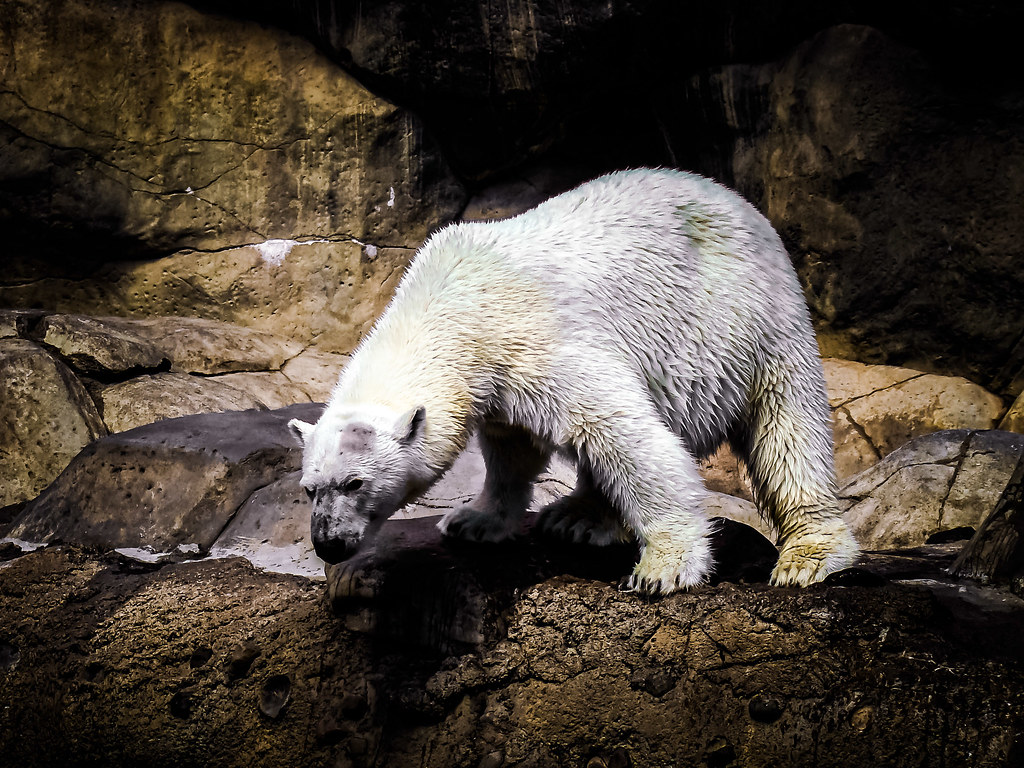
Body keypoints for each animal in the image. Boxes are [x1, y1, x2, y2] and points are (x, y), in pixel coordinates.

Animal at [289, 168, 859, 594]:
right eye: (309, 488)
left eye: (354, 483)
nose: (327, 544)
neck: (451, 302)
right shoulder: (495, 378)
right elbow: (511, 448)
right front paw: (473, 520)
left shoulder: (538, 339)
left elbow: (625, 432)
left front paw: (665, 567)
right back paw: (579, 517)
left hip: (747, 319)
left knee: (787, 428)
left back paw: (810, 554)